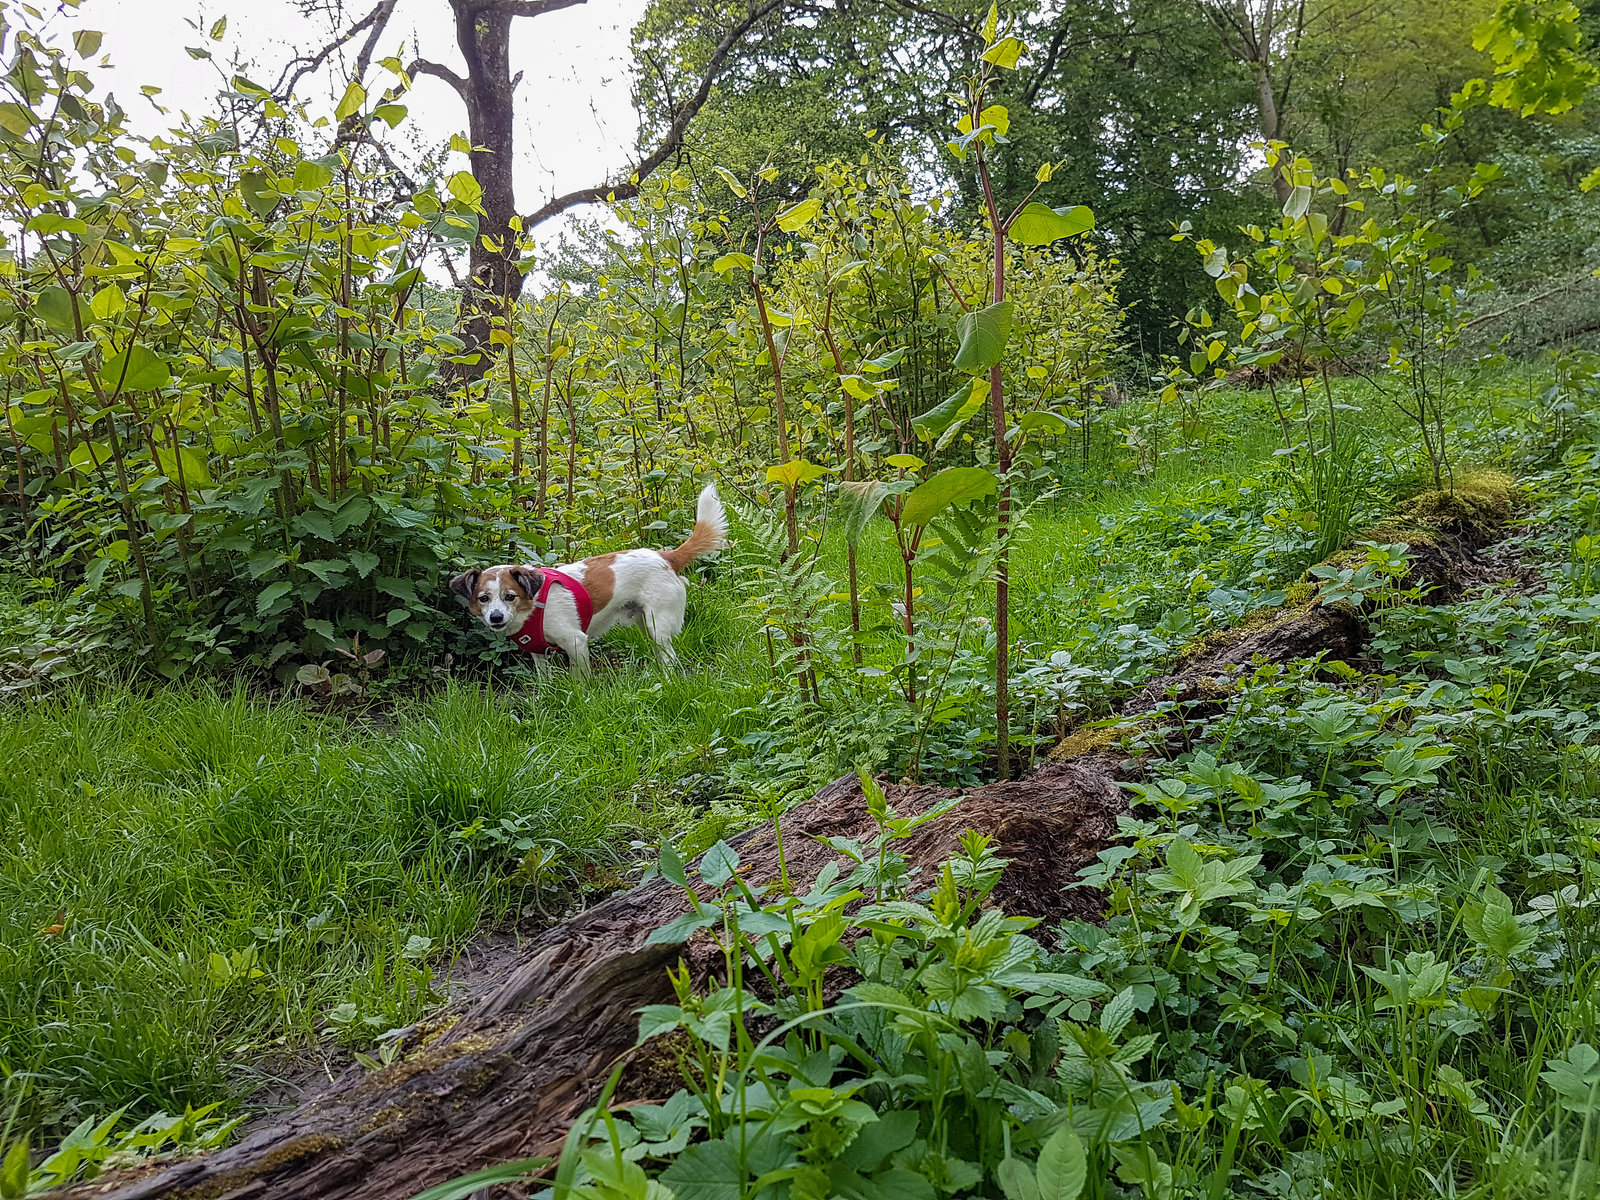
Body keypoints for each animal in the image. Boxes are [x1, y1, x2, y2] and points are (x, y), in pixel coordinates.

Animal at [448, 489, 729, 678]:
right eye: (484, 598)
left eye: (510, 596)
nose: (495, 617)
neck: (535, 607)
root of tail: (666, 556)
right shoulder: (538, 654)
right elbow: (544, 680)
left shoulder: (575, 642)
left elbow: (580, 680)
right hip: (645, 624)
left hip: (657, 624)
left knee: (670, 657)